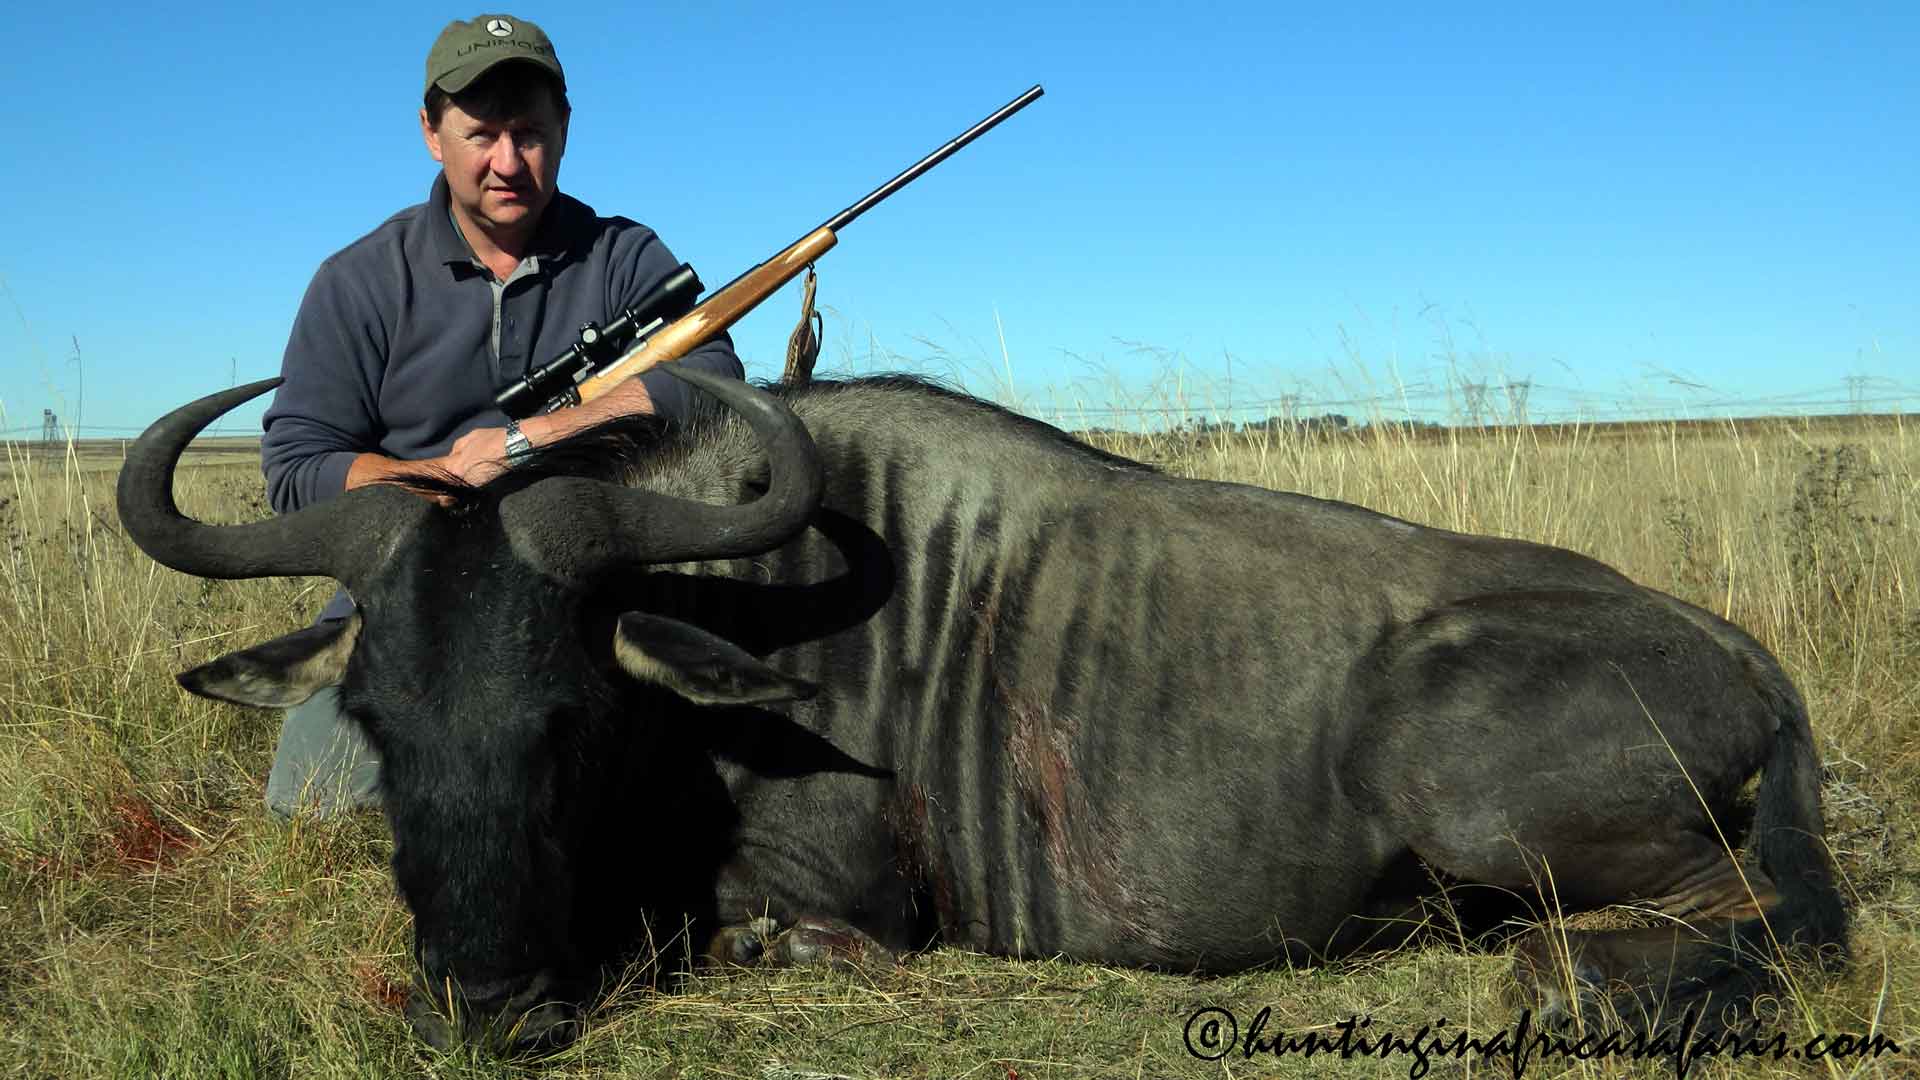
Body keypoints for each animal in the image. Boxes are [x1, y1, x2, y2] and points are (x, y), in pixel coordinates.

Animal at [116, 368, 1847, 1053]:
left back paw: (1570, 986)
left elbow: (728, 930)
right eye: (378, 721)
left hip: (1488, 805)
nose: (483, 1008)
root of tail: (1741, 656)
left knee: (1752, 924)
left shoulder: (839, 898)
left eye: (573, 715)